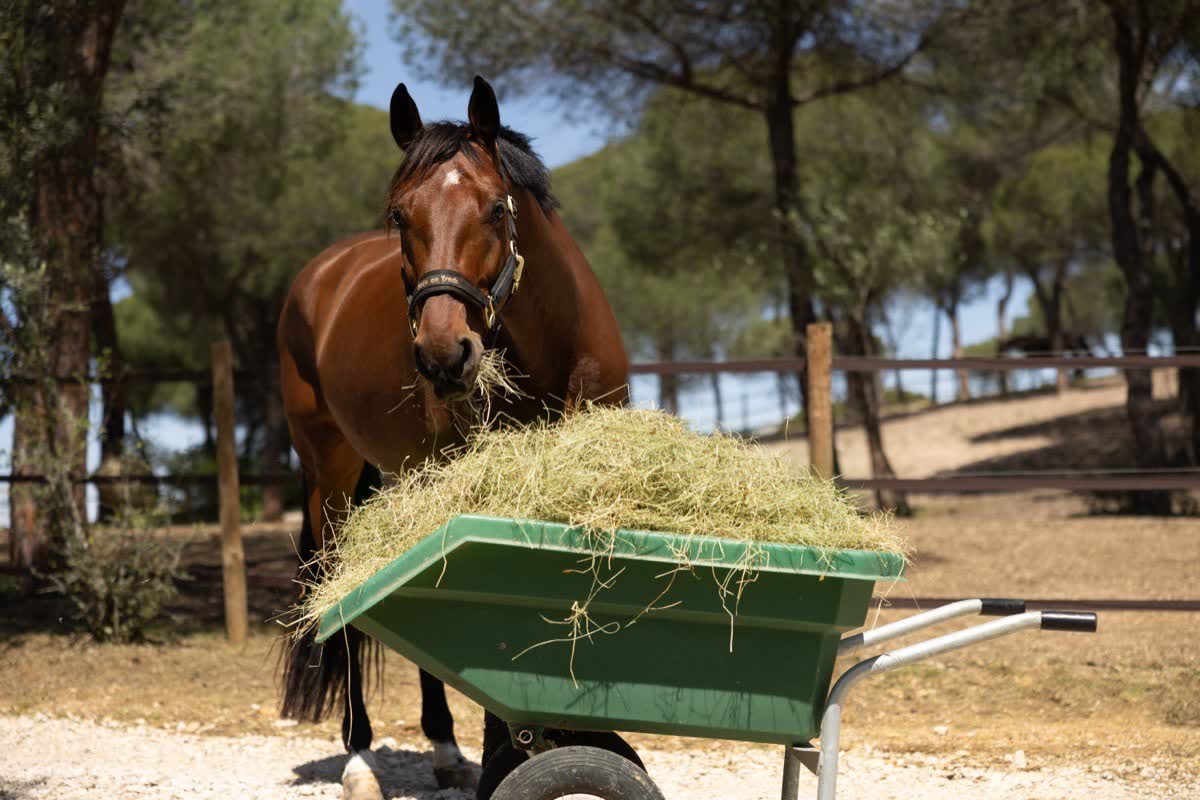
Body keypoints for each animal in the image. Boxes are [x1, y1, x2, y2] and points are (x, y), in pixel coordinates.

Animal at [276, 76, 629, 800]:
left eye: (495, 208)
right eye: (399, 216)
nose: (444, 355)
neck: (555, 351)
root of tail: (320, 275)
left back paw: (443, 747)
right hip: (331, 479)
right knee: (344, 603)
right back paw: (359, 758)